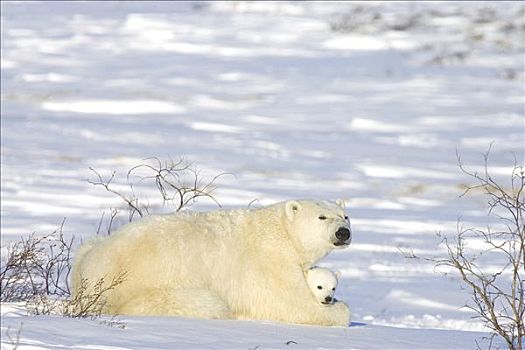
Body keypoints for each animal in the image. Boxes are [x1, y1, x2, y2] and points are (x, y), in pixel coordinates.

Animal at [71, 201, 352, 326]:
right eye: (322, 216)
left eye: (345, 215)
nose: (343, 233)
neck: (281, 231)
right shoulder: (269, 262)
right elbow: (292, 303)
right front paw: (339, 310)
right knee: (208, 303)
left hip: (88, 249)